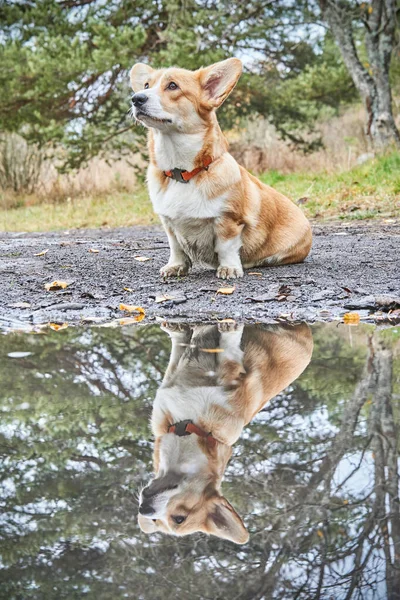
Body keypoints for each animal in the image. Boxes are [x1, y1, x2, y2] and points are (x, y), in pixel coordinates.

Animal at [130, 58, 312, 278]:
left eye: (172, 86)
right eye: (146, 85)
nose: (136, 99)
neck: (183, 173)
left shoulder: (228, 220)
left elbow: (226, 246)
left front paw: (229, 268)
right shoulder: (169, 224)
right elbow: (176, 247)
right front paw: (175, 266)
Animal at [139, 324, 314, 544]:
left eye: (179, 518)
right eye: (156, 521)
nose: (144, 509)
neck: (187, 427)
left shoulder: (231, 377)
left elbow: (228, 352)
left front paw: (228, 331)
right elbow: (180, 346)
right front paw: (177, 331)